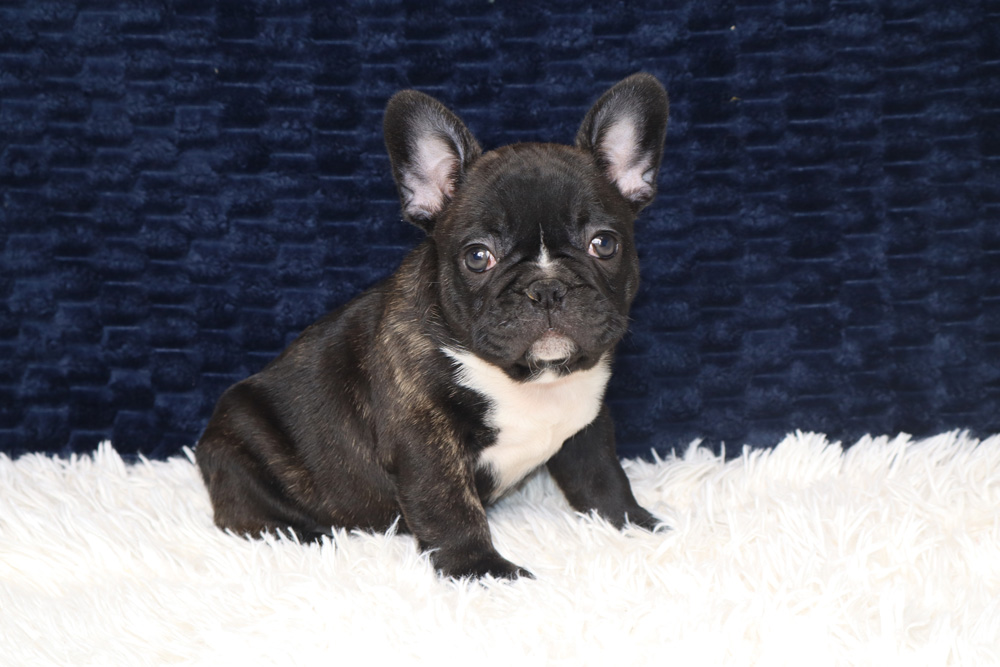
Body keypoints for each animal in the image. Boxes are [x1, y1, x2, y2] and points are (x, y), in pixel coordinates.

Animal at [196, 73, 669, 579]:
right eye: (478, 256)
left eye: (604, 244)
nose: (546, 288)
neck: (528, 379)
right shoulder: (424, 440)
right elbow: (450, 508)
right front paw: (482, 571)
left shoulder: (588, 424)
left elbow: (603, 478)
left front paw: (638, 525)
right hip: (241, 448)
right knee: (247, 517)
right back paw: (311, 537)